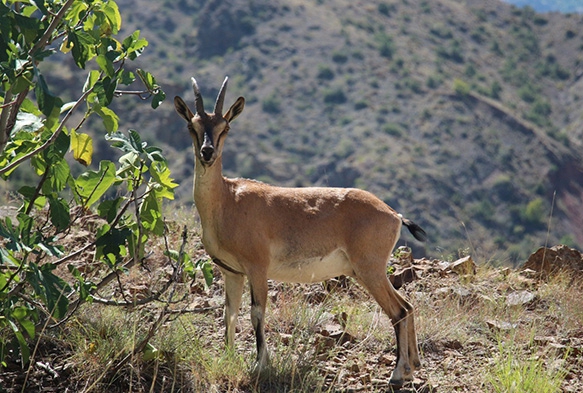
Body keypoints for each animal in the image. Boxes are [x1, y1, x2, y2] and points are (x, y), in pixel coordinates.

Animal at [172, 77, 424, 386]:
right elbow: (229, 314)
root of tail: (394, 215)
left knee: (399, 310)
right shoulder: (232, 272)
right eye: (192, 126)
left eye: (225, 127)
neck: (227, 200)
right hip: (366, 272)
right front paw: (228, 358)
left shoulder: (257, 268)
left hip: (370, 270)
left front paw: (260, 366)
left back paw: (397, 374)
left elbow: (257, 313)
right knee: (408, 306)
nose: (207, 153)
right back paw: (412, 366)